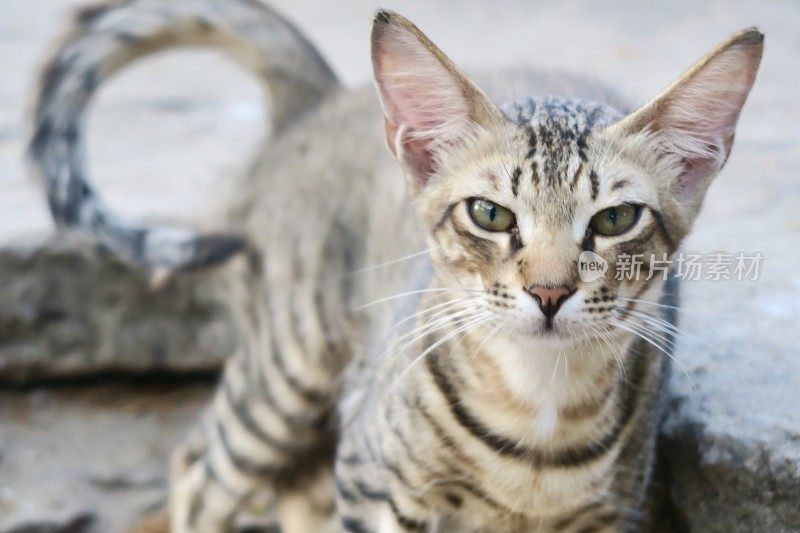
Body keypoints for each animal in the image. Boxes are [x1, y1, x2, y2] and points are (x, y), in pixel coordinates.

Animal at [26, 2, 764, 528]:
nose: (549, 292)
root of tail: (321, 97)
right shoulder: (375, 484)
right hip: (284, 366)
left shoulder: (610, 513)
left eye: (614, 220)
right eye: (490, 214)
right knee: (199, 469)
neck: (538, 410)